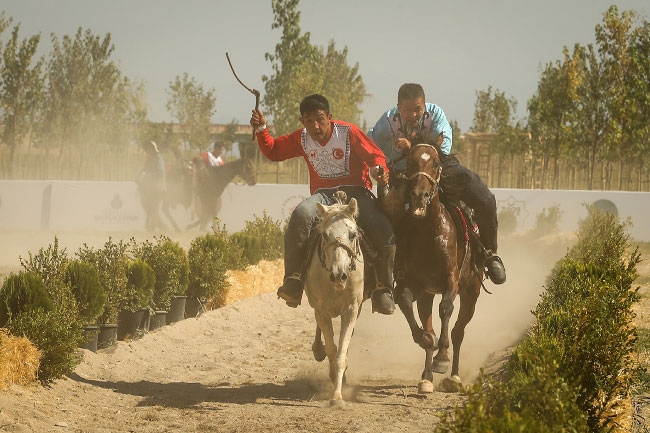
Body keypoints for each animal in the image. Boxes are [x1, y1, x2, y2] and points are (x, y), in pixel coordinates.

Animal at [304, 194, 364, 406]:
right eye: (324, 235)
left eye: (352, 235)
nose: (340, 275)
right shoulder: (321, 311)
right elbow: (331, 350)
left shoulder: (351, 310)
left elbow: (340, 355)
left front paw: (337, 396)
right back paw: (317, 349)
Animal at [384, 131, 480, 392]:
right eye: (410, 162)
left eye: (436, 163)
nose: (419, 195)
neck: (428, 233)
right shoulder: (413, 285)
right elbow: (408, 306)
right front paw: (428, 341)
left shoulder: (451, 280)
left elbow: (445, 309)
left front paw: (442, 357)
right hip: (428, 295)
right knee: (431, 320)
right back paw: (426, 377)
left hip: (472, 292)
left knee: (459, 332)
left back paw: (454, 375)